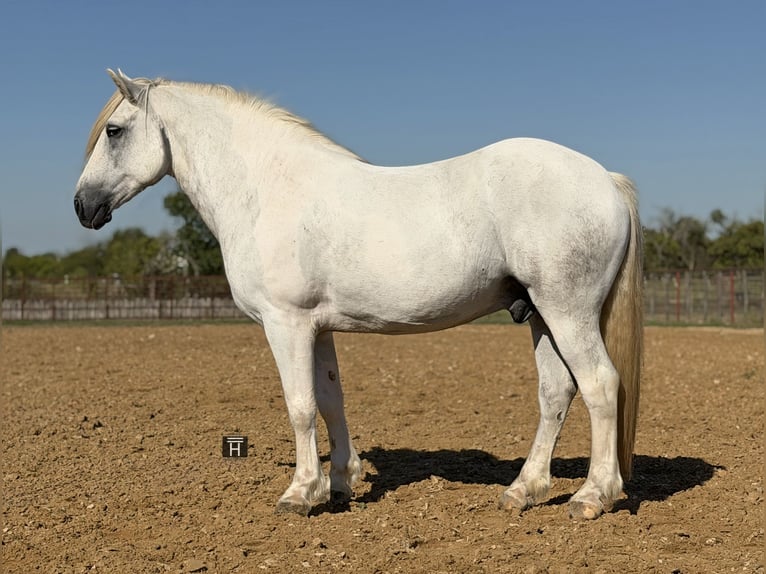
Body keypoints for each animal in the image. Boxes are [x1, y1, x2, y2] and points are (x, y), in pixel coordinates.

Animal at [74, 69, 643, 520]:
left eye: (114, 131)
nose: (83, 206)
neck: (267, 189)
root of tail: (606, 180)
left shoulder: (286, 324)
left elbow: (300, 405)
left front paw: (300, 493)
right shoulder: (317, 327)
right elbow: (330, 400)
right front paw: (340, 483)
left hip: (567, 312)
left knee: (599, 384)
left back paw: (592, 495)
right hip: (541, 315)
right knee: (556, 393)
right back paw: (524, 490)